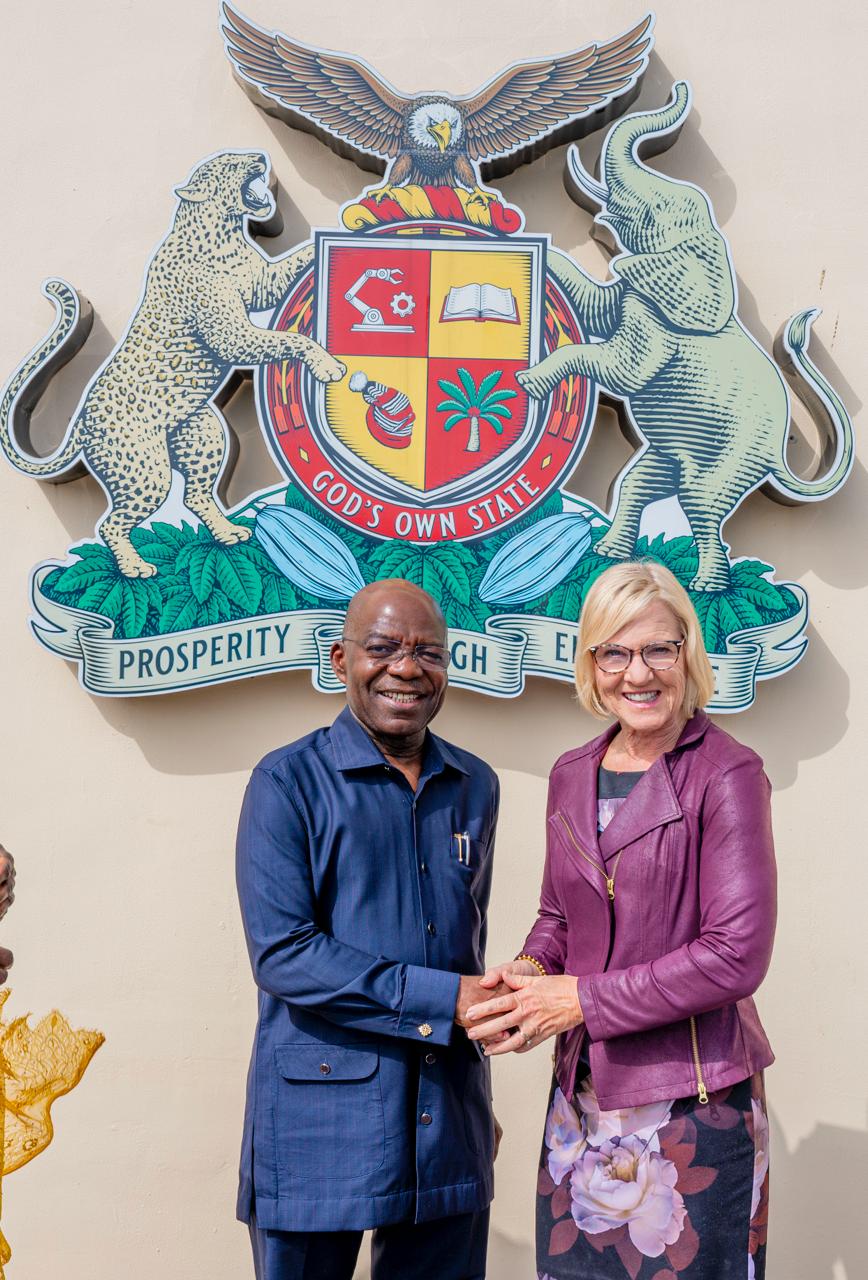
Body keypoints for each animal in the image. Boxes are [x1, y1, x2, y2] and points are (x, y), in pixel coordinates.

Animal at [0, 150, 345, 577]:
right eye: (229, 164)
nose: (259, 156)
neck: (223, 234)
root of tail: (80, 423)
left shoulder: (262, 284)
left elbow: (295, 258)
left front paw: (335, 232)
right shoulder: (232, 336)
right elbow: (290, 340)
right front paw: (327, 366)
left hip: (201, 433)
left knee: (195, 495)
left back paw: (228, 534)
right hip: (145, 471)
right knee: (111, 522)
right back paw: (135, 568)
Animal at [516, 82, 853, 591]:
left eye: (654, 212)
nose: (677, 88)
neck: (702, 246)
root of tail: (779, 459)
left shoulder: (664, 323)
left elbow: (624, 372)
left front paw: (528, 383)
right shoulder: (640, 289)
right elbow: (594, 305)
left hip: (730, 458)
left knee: (701, 502)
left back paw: (706, 586)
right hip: (673, 454)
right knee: (640, 482)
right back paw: (609, 553)